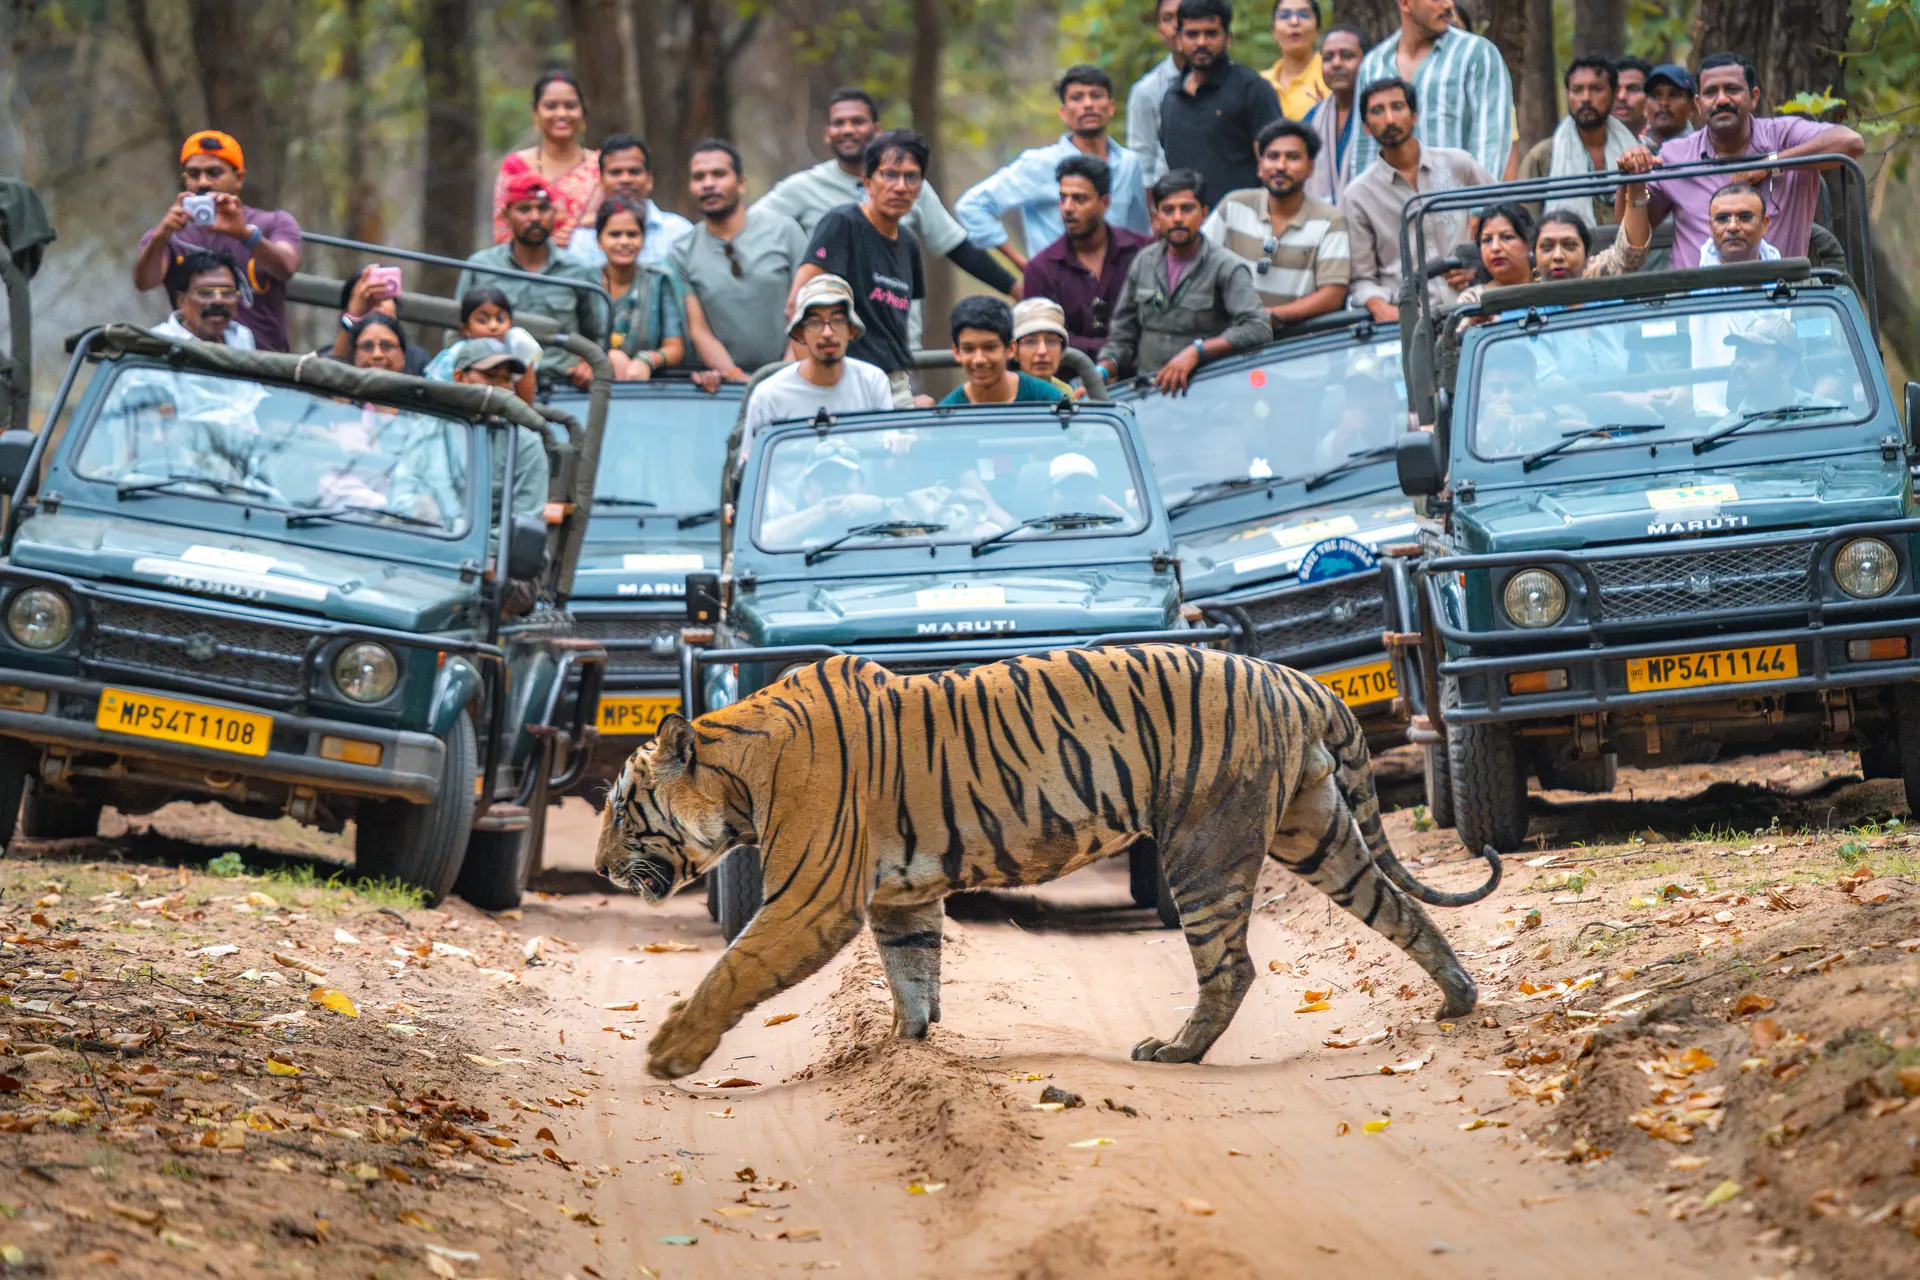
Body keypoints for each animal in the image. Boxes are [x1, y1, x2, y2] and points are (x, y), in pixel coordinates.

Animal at [595, 644, 1501, 1080]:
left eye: (619, 809)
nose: (602, 867)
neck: (736, 774)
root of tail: (1294, 679)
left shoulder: (808, 899)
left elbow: (734, 971)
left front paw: (670, 1053)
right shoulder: (899, 899)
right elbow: (911, 974)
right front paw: (898, 1054)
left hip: (1204, 845)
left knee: (1231, 965)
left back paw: (1174, 1052)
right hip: (1316, 832)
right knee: (1400, 910)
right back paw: (1457, 1000)